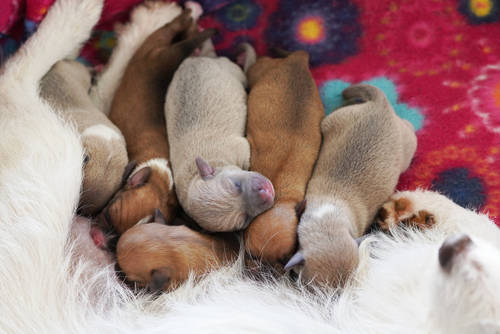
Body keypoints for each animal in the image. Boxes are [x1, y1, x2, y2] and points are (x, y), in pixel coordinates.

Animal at [164, 39, 274, 232]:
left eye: (236, 185)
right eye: (244, 220)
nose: (266, 192)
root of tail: (206, 57)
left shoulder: (240, 149)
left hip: (230, 69)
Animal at [242, 45, 324, 276]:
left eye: (286, 259)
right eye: (250, 255)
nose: (266, 273)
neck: (278, 197)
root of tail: (298, 59)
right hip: (260, 70)